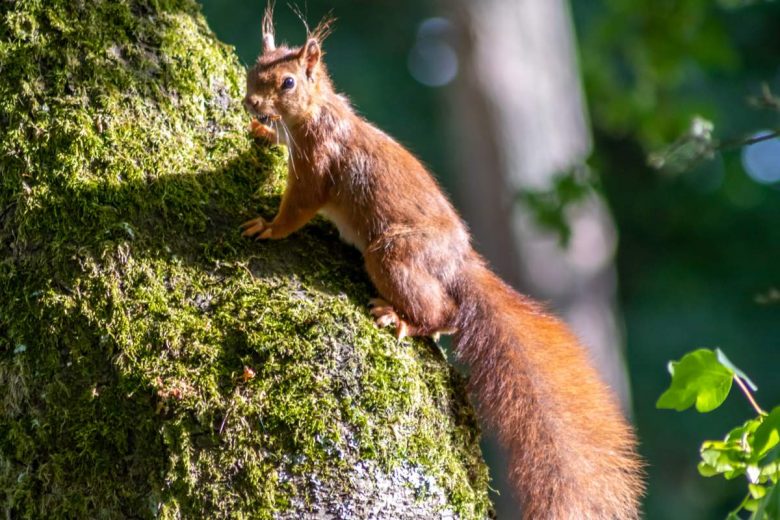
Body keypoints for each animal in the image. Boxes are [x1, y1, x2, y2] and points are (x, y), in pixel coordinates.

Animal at [241, 7, 644, 516]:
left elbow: (297, 208)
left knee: (443, 313)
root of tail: (459, 264)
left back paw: (401, 319)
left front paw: (267, 226)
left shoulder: (318, 164)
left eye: (288, 82)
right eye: (255, 68)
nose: (250, 103)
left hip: (393, 254)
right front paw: (259, 133)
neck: (319, 113)